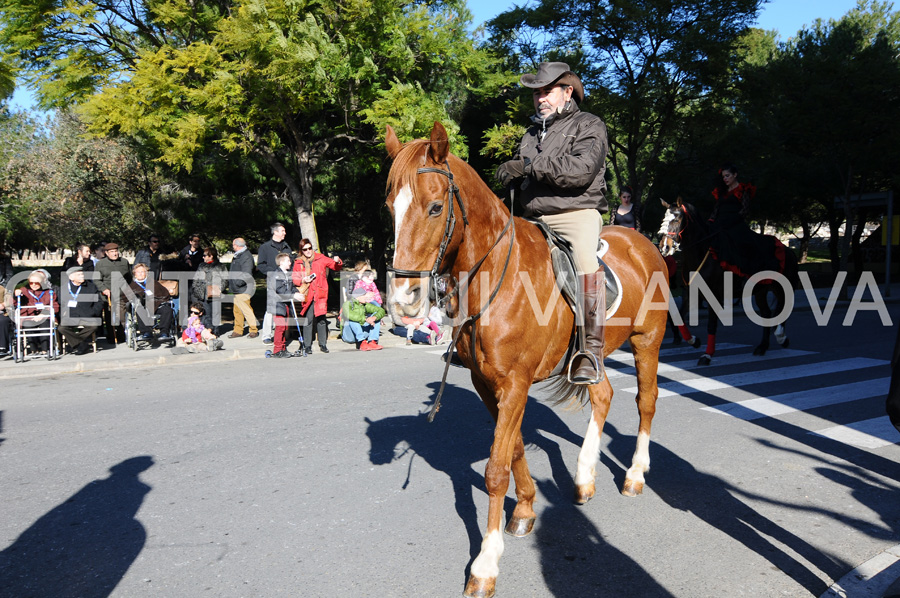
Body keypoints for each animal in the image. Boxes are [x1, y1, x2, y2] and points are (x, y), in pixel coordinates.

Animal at [384, 123, 672, 598]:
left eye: (435, 207)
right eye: (391, 207)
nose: (403, 301)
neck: (495, 275)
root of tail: (643, 243)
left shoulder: (515, 383)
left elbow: (495, 469)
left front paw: (485, 564)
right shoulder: (489, 385)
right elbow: (514, 448)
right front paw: (524, 511)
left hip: (647, 342)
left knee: (646, 402)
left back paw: (635, 475)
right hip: (594, 356)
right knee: (604, 396)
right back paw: (584, 476)